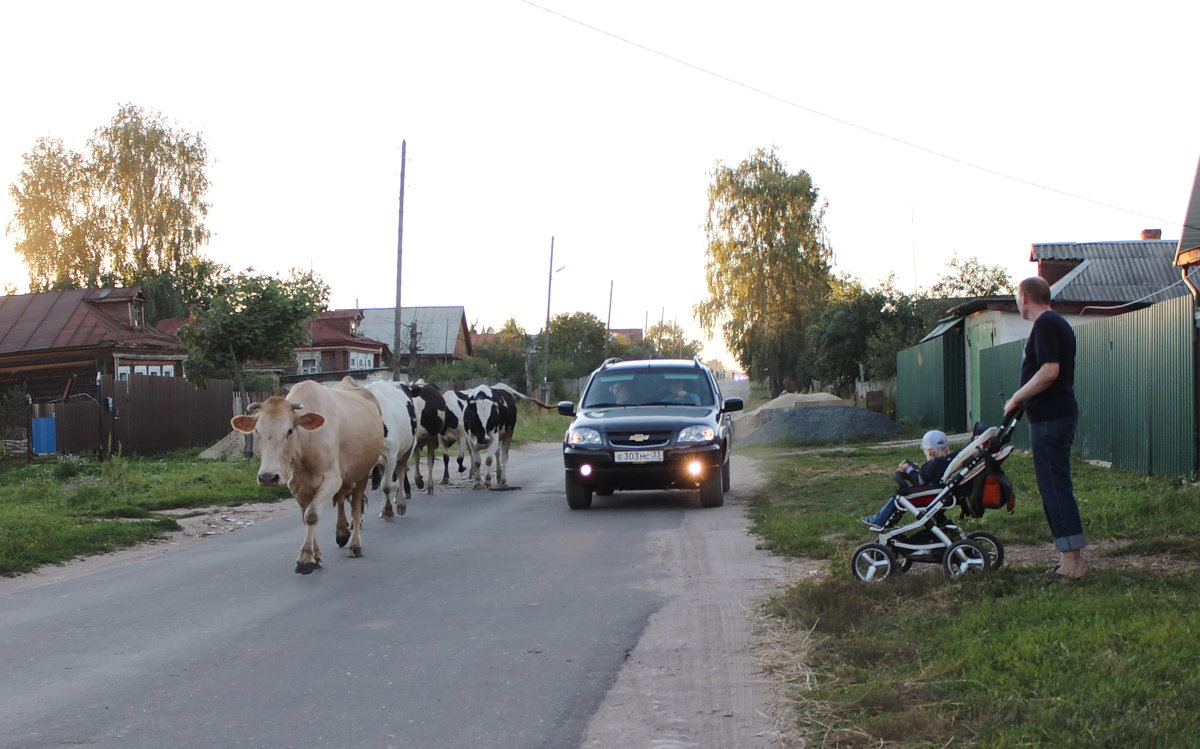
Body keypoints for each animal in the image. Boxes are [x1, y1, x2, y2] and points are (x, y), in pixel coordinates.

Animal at [231, 376, 381, 576]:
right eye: (257, 432)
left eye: (289, 431)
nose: (268, 477)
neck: (304, 445)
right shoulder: (297, 485)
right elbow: (306, 516)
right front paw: (316, 557)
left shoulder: (332, 479)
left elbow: (312, 515)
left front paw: (305, 558)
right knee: (342, 500)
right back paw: (341, 533)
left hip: (363, 473)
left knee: (356, 509)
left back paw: (355, 546)